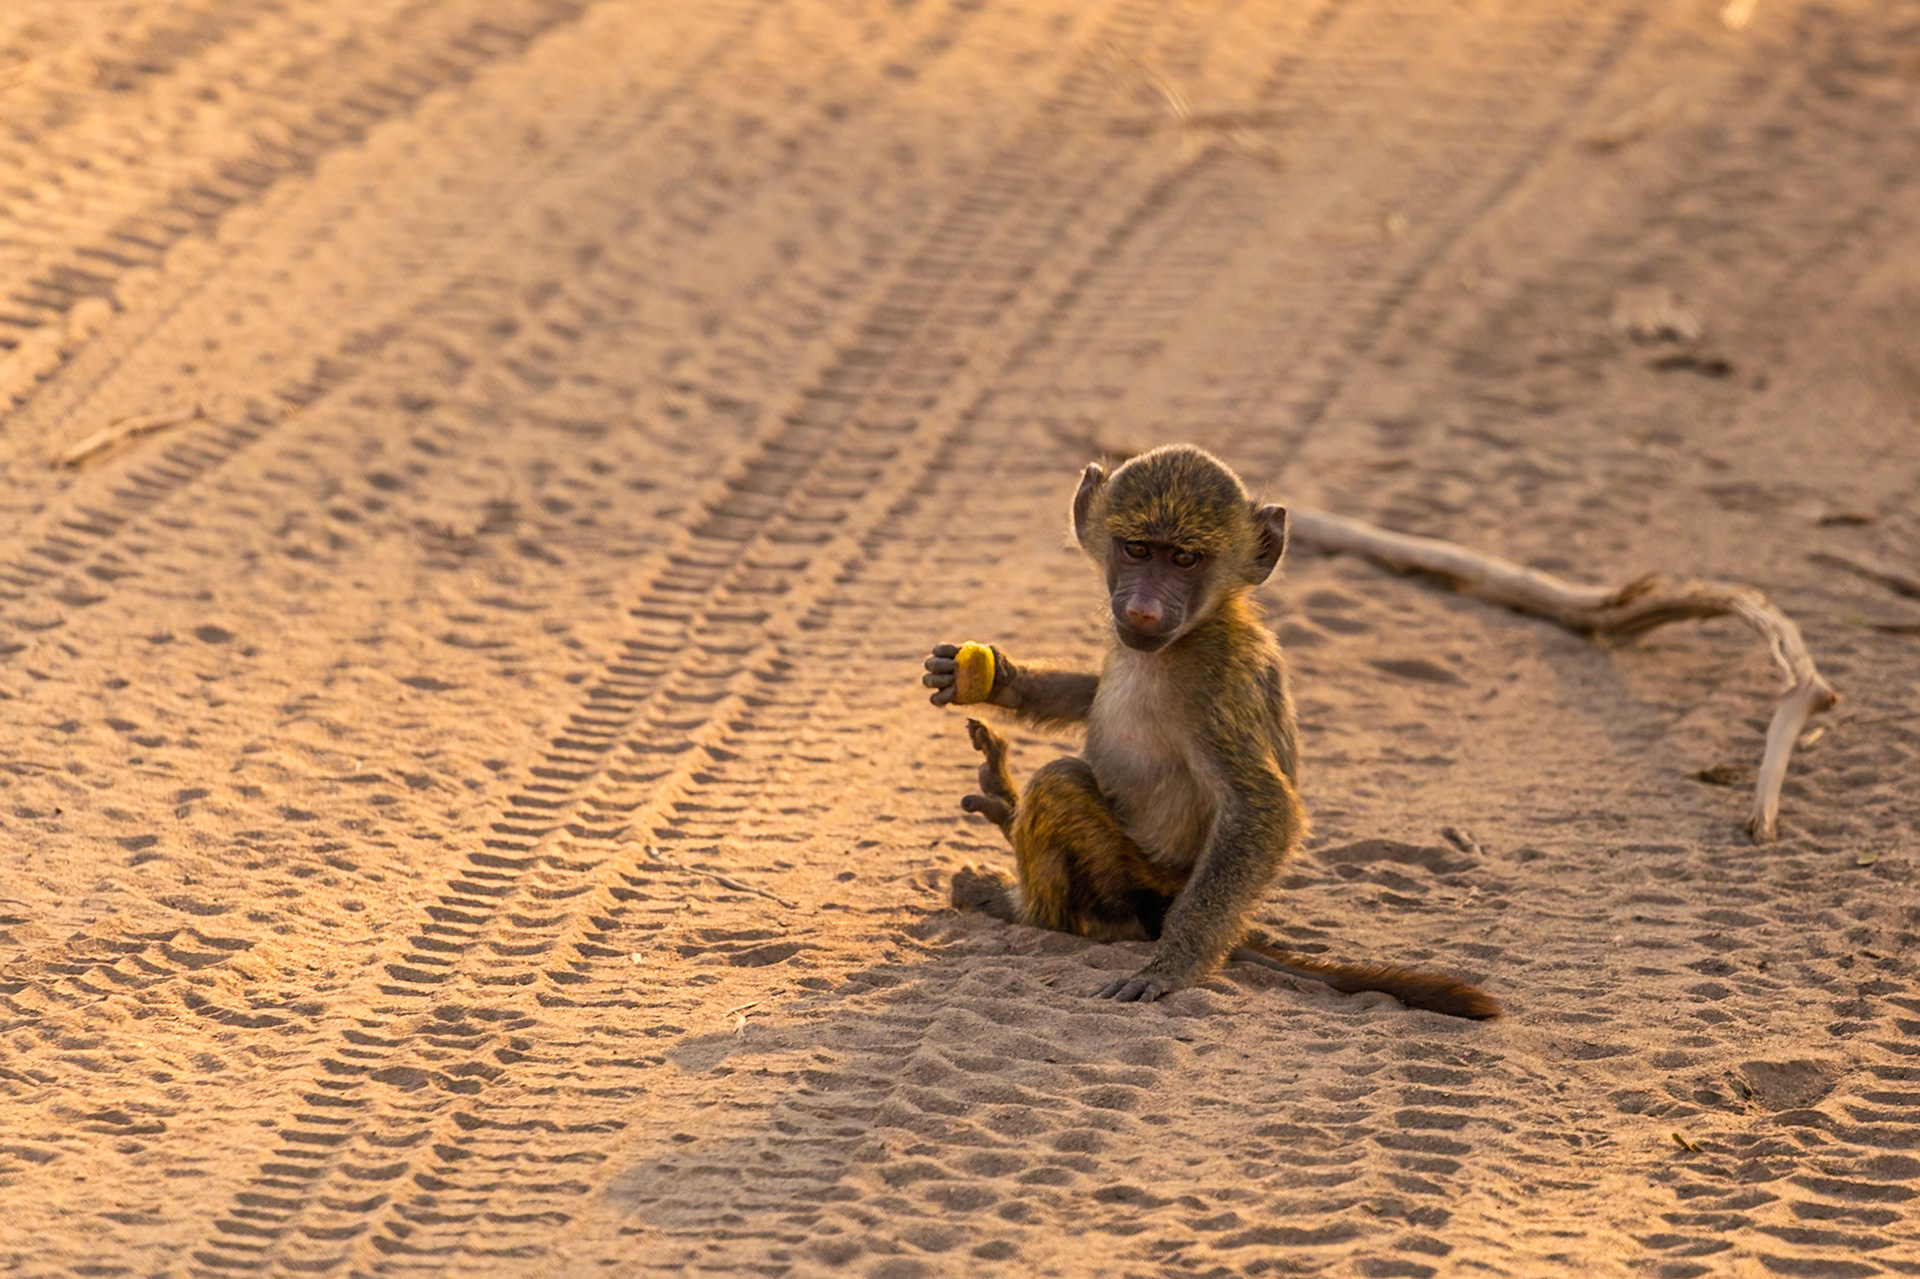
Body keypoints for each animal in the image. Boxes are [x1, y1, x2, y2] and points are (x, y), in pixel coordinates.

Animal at [923, 444, 1499, 1020]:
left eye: (1184, 559)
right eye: (1137, 549)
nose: (1143, 611)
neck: (1194, 631)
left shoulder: (1216, 686)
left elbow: (1263, 807)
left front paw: (1172, 968)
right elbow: (1092, 694)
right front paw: (1000, 679)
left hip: (1141, 884)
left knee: (1060, 790)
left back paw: (1020, 904)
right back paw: (1004, 809)